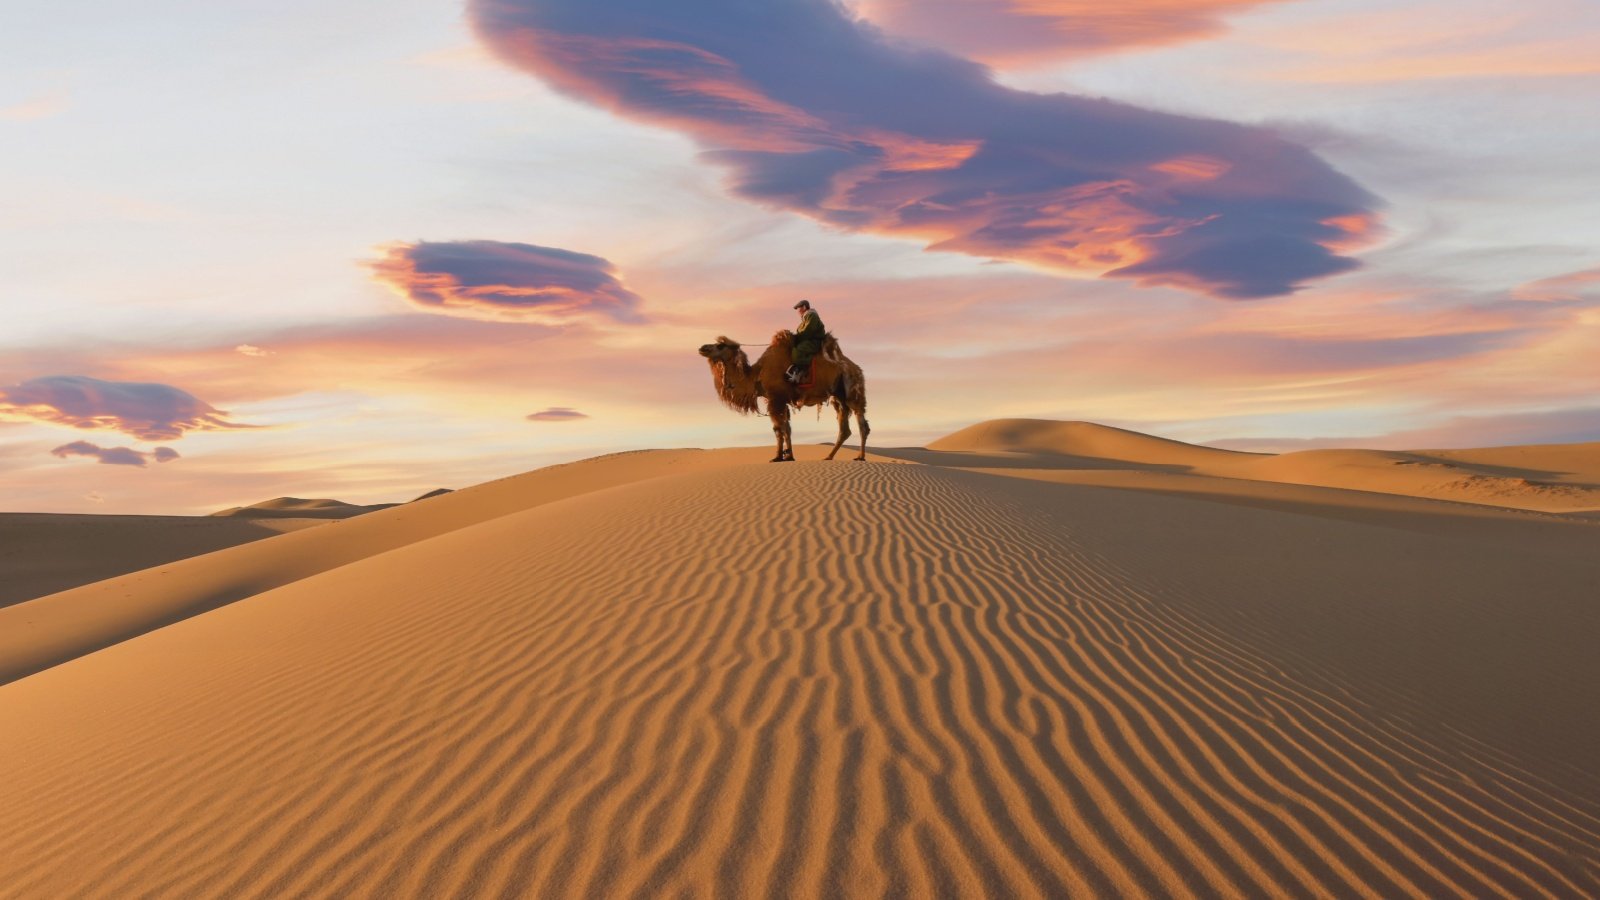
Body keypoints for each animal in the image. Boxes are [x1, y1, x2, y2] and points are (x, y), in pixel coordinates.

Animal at [704, 333, 876, 464]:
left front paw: (780, 457)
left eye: (720, 346)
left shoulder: (776, 399)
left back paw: (860, 457)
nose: (702, 348)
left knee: (862, 424)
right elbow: (786, 428)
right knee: (844, 428)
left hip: (853, 390)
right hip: (838, 397)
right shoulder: (780, 401)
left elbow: (779, 429)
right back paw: (828, 456)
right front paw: (786, 455)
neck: (756, 375)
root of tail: (857, 369)